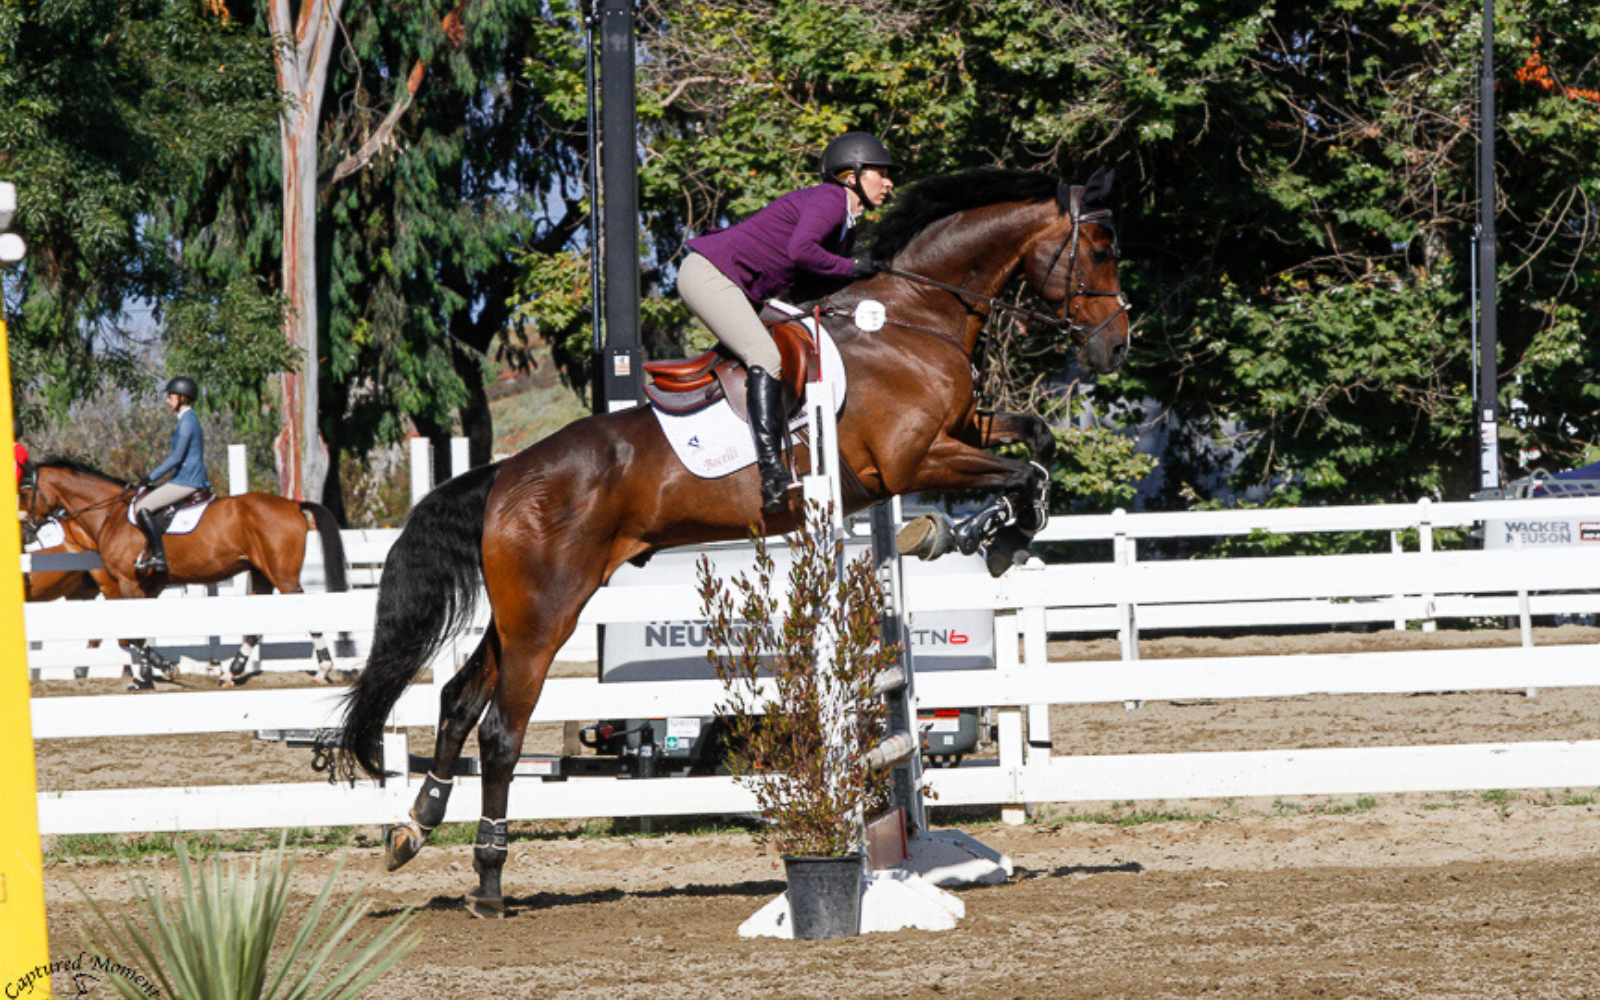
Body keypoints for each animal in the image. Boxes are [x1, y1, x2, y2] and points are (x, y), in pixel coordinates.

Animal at [17, 460, 348, 684]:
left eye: (23, 491)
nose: (26, 531)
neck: (111, 512)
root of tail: (293, 505)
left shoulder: (126, 581)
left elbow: (132, 634)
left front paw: (156, 671)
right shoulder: (148, 586)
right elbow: (139, 632)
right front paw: (148, 673)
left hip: (283, 576)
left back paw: (323, 670)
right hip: (262, 573)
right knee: (256, 624)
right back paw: (231, 672)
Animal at [332, 165, 1132, 915]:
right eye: (1100, 248)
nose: (1116, 346)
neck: (909, 320)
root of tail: (504, 476)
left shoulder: (962, 432)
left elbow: (1037, 442)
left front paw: (986, 533)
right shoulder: (915, 458)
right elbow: (1023, 470)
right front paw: (974, 533)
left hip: (519, 611)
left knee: (458, 701)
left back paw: (414, 829)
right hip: (545, 615)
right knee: (500, 732)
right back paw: (490, 881)